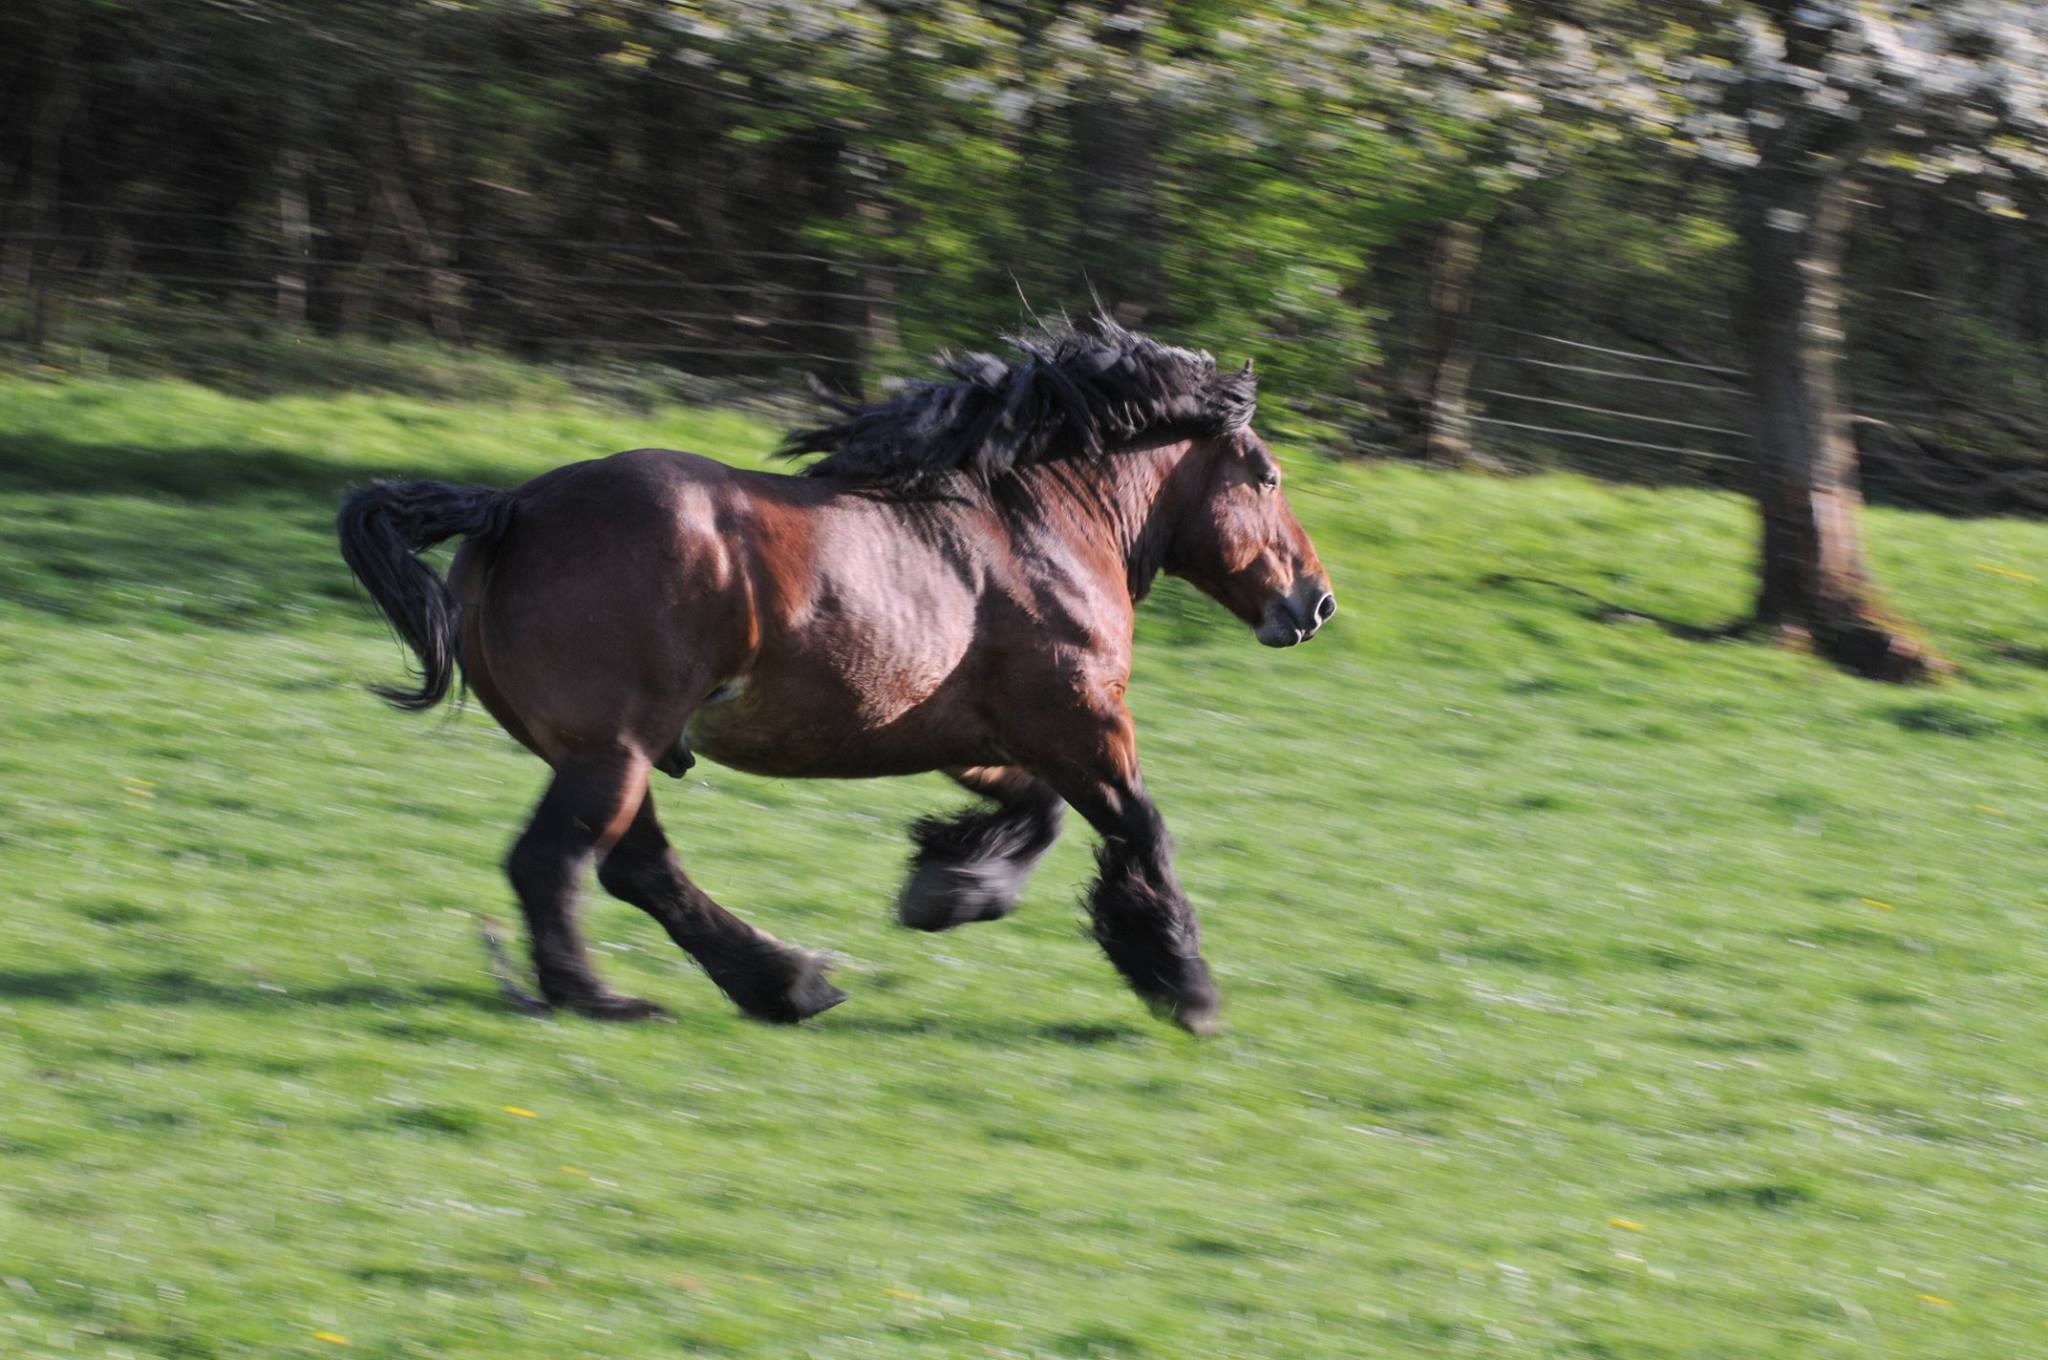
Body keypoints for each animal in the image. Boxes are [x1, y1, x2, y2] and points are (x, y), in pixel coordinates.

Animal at [339, 319, 1327, 1036]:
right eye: (1268, 476)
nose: (1315, 602)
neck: (1034, 529)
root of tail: (511, 508)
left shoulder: (976, 736)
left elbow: (1036, 812)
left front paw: (949, 892)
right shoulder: (1081, 723)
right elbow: (1140, 830)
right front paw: (1185, 988)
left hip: (603, 754)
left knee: (637, 868)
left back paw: (787, 984)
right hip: (610, 752)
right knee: (560, 864)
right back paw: (606, 998)